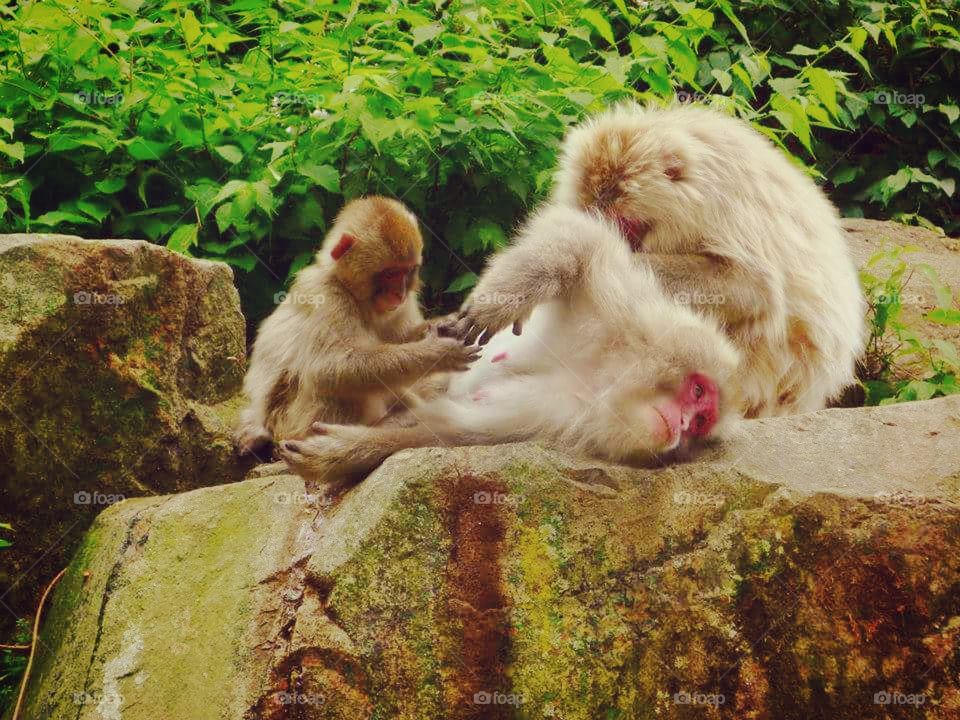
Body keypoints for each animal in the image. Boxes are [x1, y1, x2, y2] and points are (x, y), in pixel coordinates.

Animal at [234, 196, 480, 456]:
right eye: (390, 273)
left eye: (407, 271)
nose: (399, 293)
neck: (355, 294)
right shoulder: (326, 294)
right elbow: (328, 366)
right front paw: (438, 353)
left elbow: (399, 338)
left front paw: (443, 325)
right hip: (290, 423)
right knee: (333, 385)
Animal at [277, 206, 741, 481]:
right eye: (697, 391)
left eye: (701, 422)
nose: (683, 425)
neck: (610, 377)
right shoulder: (628, 314)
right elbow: (576, 242)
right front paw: (499, 307)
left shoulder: (565, 411)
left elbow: (455, 427)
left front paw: (341, 452)